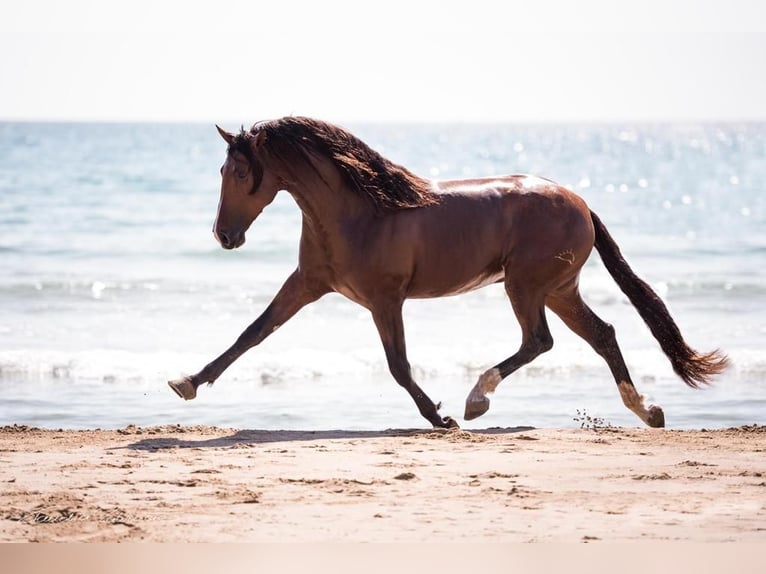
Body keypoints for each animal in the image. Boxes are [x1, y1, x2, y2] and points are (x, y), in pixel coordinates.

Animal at [165, 117, 728, 430]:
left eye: (240, 172)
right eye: (222, 171)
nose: (224, 236)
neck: (359, 209)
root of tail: (581, 202)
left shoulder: (385, 300)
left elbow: (398, 366)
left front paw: (442, 418)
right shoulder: (306, 284)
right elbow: (252, 334)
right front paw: (186, 383)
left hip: (526, 285)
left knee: (540, 341)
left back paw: (477, 399)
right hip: (559, 289)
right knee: (602, 335)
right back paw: (648, 412)